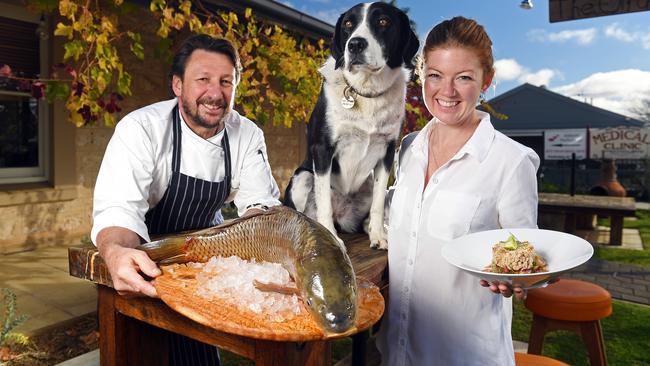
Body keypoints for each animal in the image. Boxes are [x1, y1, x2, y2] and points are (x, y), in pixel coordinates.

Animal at [282, 2, 416, 249]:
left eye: (383, 21)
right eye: (348, 24)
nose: (354, 44)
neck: (366, 93)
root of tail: (341, 215)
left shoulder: (387, 151)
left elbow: (378, 203)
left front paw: (378, 236)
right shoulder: (322, 148)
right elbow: (324, 202)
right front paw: (331, 239)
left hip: (367, 185)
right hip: (302, 177)